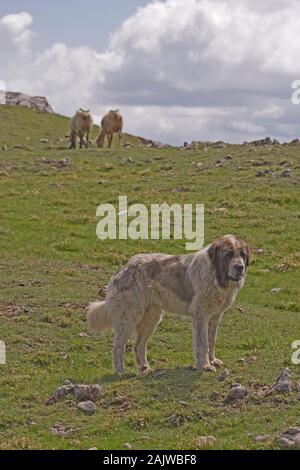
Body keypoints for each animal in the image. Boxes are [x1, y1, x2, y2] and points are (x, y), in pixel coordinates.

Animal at [86, 235, 248, 374]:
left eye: (242, 254)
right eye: (229, 254)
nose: (240, 267)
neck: (216, 275)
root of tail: (124, 268)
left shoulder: (215, 316)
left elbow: (212, 340)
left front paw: (212, 360)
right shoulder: (201, 315)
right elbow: (203, 343)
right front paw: (205, 365)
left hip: (151, 318)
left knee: (138, 345)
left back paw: (144, 368)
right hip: (129, 317)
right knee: (118, 347)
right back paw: (120, 371)